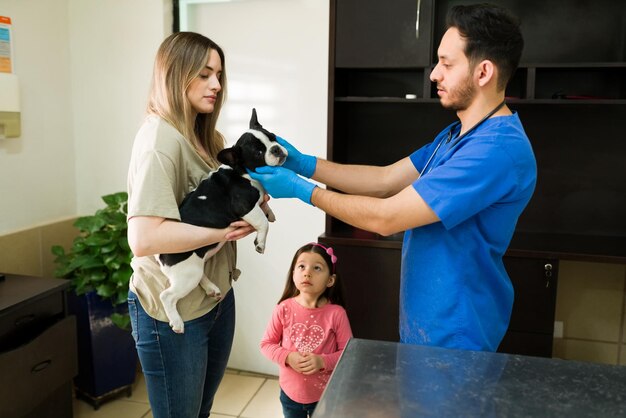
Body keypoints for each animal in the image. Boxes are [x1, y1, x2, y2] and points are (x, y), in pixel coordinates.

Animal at [156, 108, 286, 334]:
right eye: (258, 153)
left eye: (273, 137)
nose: (277, 149)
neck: (240, 171)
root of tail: (161, 255)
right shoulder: (245, 207)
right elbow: (263, 223)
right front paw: (261, 242)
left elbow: (265, 209)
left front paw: (270, 212)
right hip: (187, 273)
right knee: (167, 296)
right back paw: (177, 322)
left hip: (197, 263)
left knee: (200, 275)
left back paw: (211, 288)